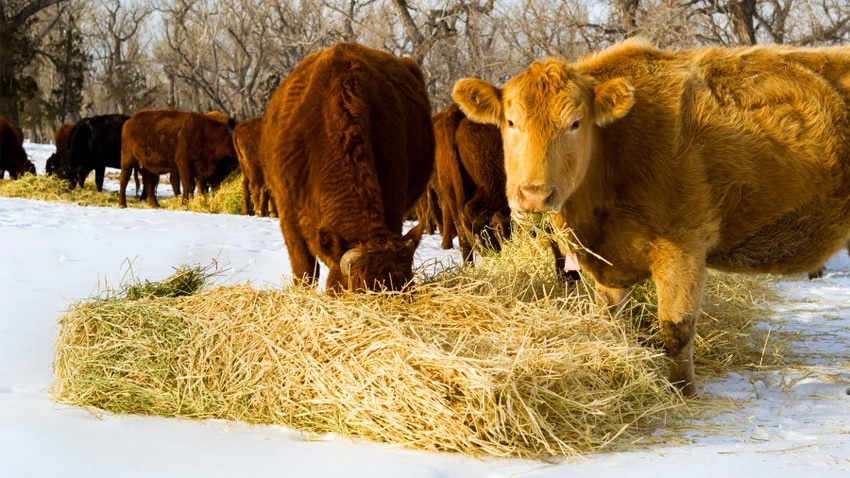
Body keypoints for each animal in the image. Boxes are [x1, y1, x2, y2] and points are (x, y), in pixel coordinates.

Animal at [454, 39, 848, 396]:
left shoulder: (684, 246)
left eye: (576, 123)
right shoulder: (607, 263)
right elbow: (611, 320)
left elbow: (676, 329)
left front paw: (683, 391)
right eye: (511, 121)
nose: (535, 194)